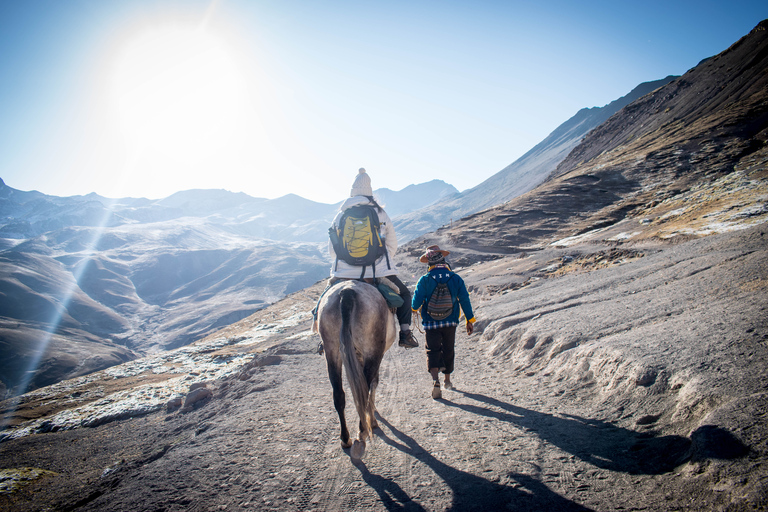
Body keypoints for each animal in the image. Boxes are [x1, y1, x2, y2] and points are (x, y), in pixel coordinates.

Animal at [318, 280, 402, 460]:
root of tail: (347, 292)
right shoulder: (372, 355)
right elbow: (373, 384)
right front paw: (373, 419)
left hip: (332, 351)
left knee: (339, 395)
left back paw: (345, 439)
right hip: (372, 350)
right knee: (365, 388)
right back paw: (362, 435)